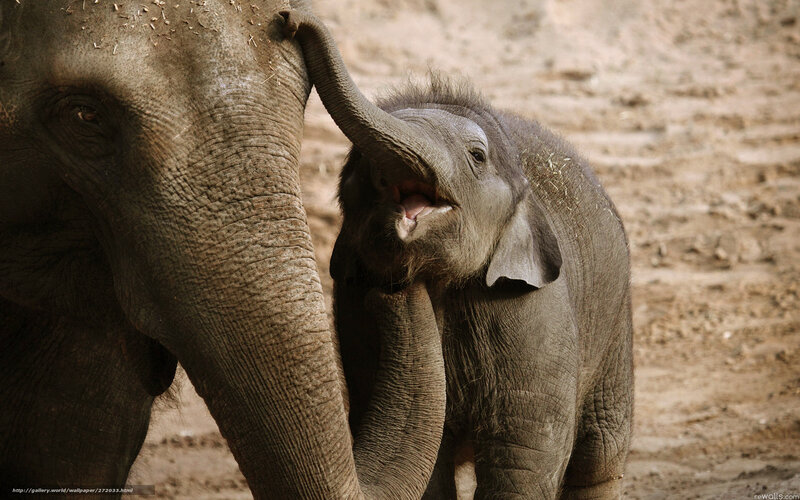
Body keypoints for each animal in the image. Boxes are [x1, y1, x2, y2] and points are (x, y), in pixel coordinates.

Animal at [283, 9, 634, 499]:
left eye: (477, 156)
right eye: (355, 165)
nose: (291, 19)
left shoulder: (536, 317)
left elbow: (524, 461)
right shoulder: (353, 318)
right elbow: (426, 467)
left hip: (615, 329)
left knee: (599, 455)